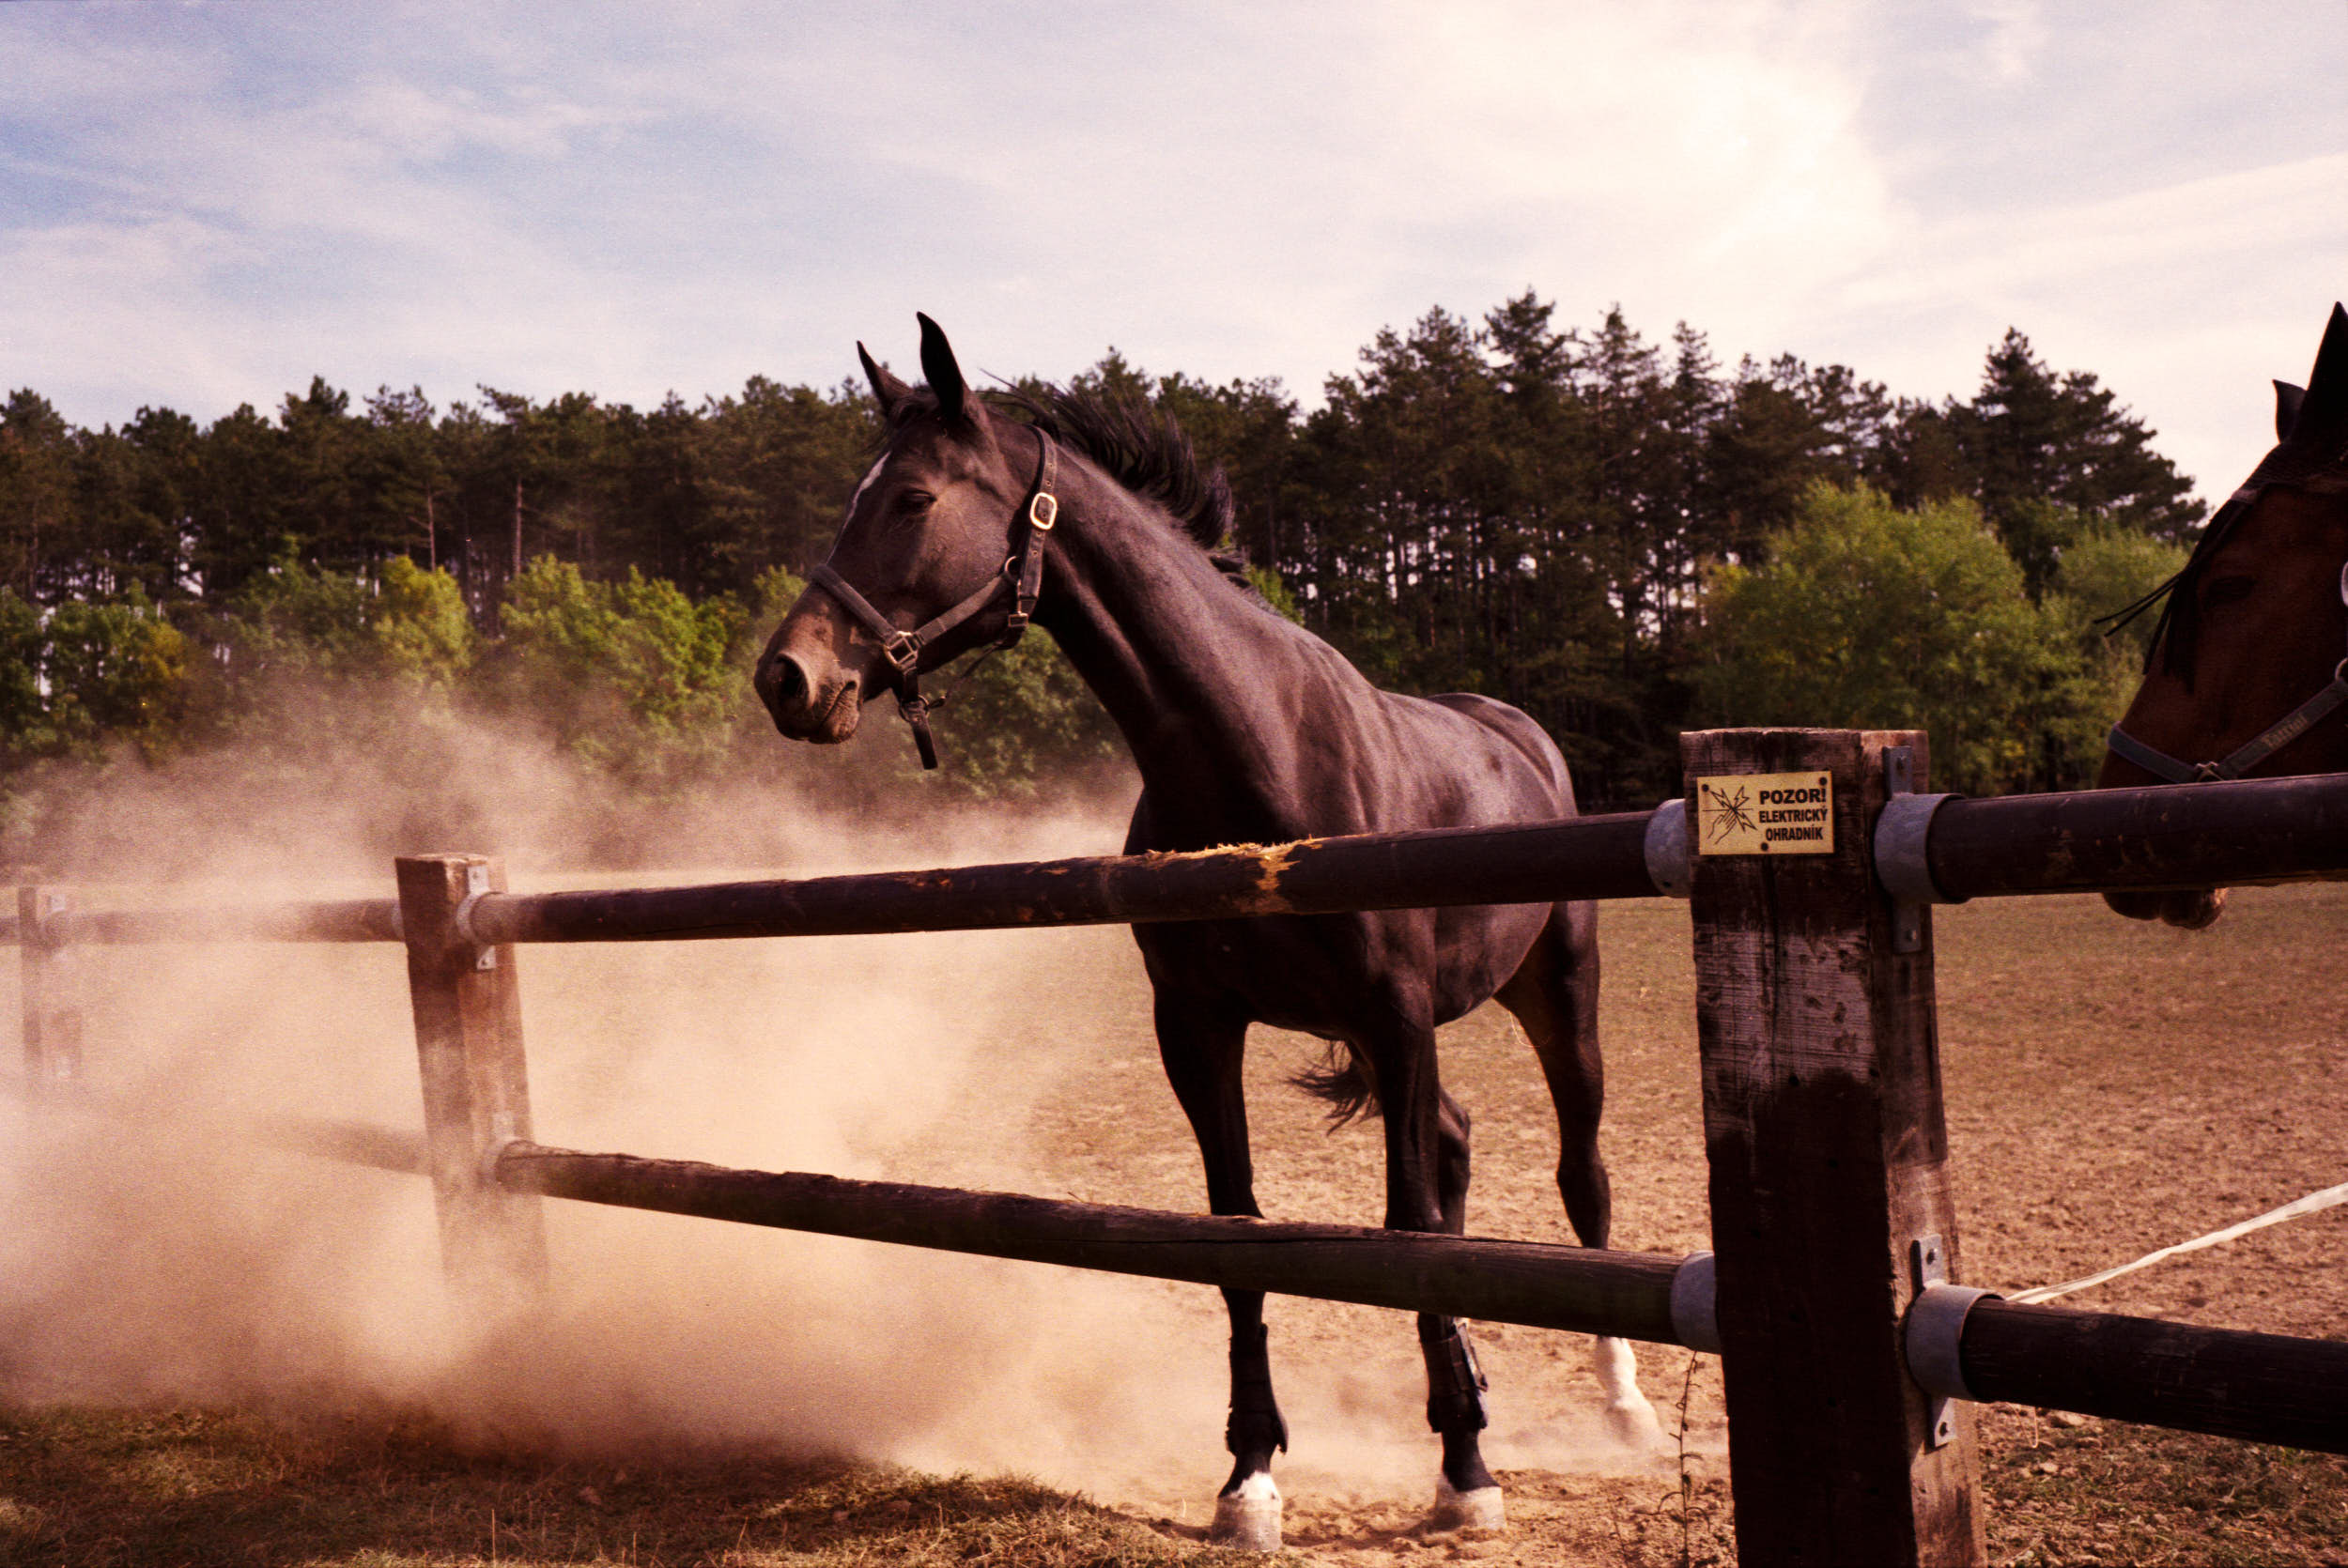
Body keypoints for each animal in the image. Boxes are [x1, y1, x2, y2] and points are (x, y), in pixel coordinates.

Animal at [751, 315, 1653, 1540]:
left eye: (912, 498)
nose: (787, 677)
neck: (1255, 750)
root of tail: (1520, 734)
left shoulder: (1395, 1014)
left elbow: (1410, 1221)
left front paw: (1465, 1471)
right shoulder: (1200, 1026)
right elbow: (1238, 1233)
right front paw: (1251, 1474)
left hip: (1557, 995)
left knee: (1579, 1176)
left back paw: (1619, 1405)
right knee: (1462, 1142)